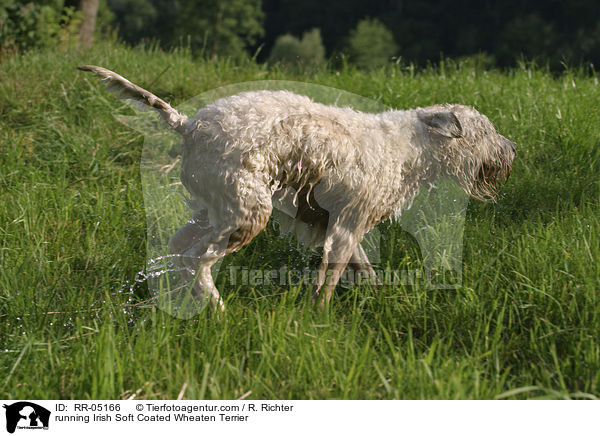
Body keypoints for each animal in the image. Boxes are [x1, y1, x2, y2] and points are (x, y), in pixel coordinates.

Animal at [77, 64, 512, 310]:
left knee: (176, 248)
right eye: (485, 130)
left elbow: (364, 270)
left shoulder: (338, 225)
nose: (513, 149)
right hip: (247, 213)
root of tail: (186, 124)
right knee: (196, 261)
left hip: (213, 208)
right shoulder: (347, 224)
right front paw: (318, 319)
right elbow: (329, 280)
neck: (406, 148)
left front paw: (377, 299)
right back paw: (217, 311)